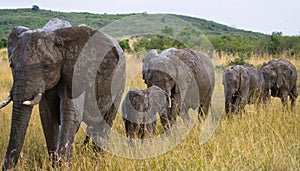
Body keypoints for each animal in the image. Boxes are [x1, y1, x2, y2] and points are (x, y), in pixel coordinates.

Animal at [0, 18, 125, 169]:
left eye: (47, 66)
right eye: (11, 65)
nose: (8, 167)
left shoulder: (76, 73)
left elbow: (70, 115)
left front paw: (63, 166)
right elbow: (47, 116)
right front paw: (55, 164)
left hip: (119, 84)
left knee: (104, 125)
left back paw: (97, 163)